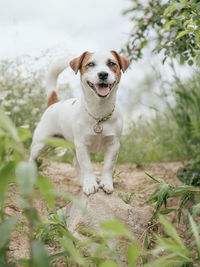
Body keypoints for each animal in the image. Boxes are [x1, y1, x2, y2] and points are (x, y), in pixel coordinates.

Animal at [29, 50, 130, 195]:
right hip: (40, 144)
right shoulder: (82, 145)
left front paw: (106, 183)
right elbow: (87, 166)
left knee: (76, 163)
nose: (103, 74)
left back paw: (81, 181)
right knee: (31, 158)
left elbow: (108, 166)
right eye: (90, 64)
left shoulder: (113, 145)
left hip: (73, 145)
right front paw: (91, 185)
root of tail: (54, 103)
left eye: (112, 63)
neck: (98, 114)